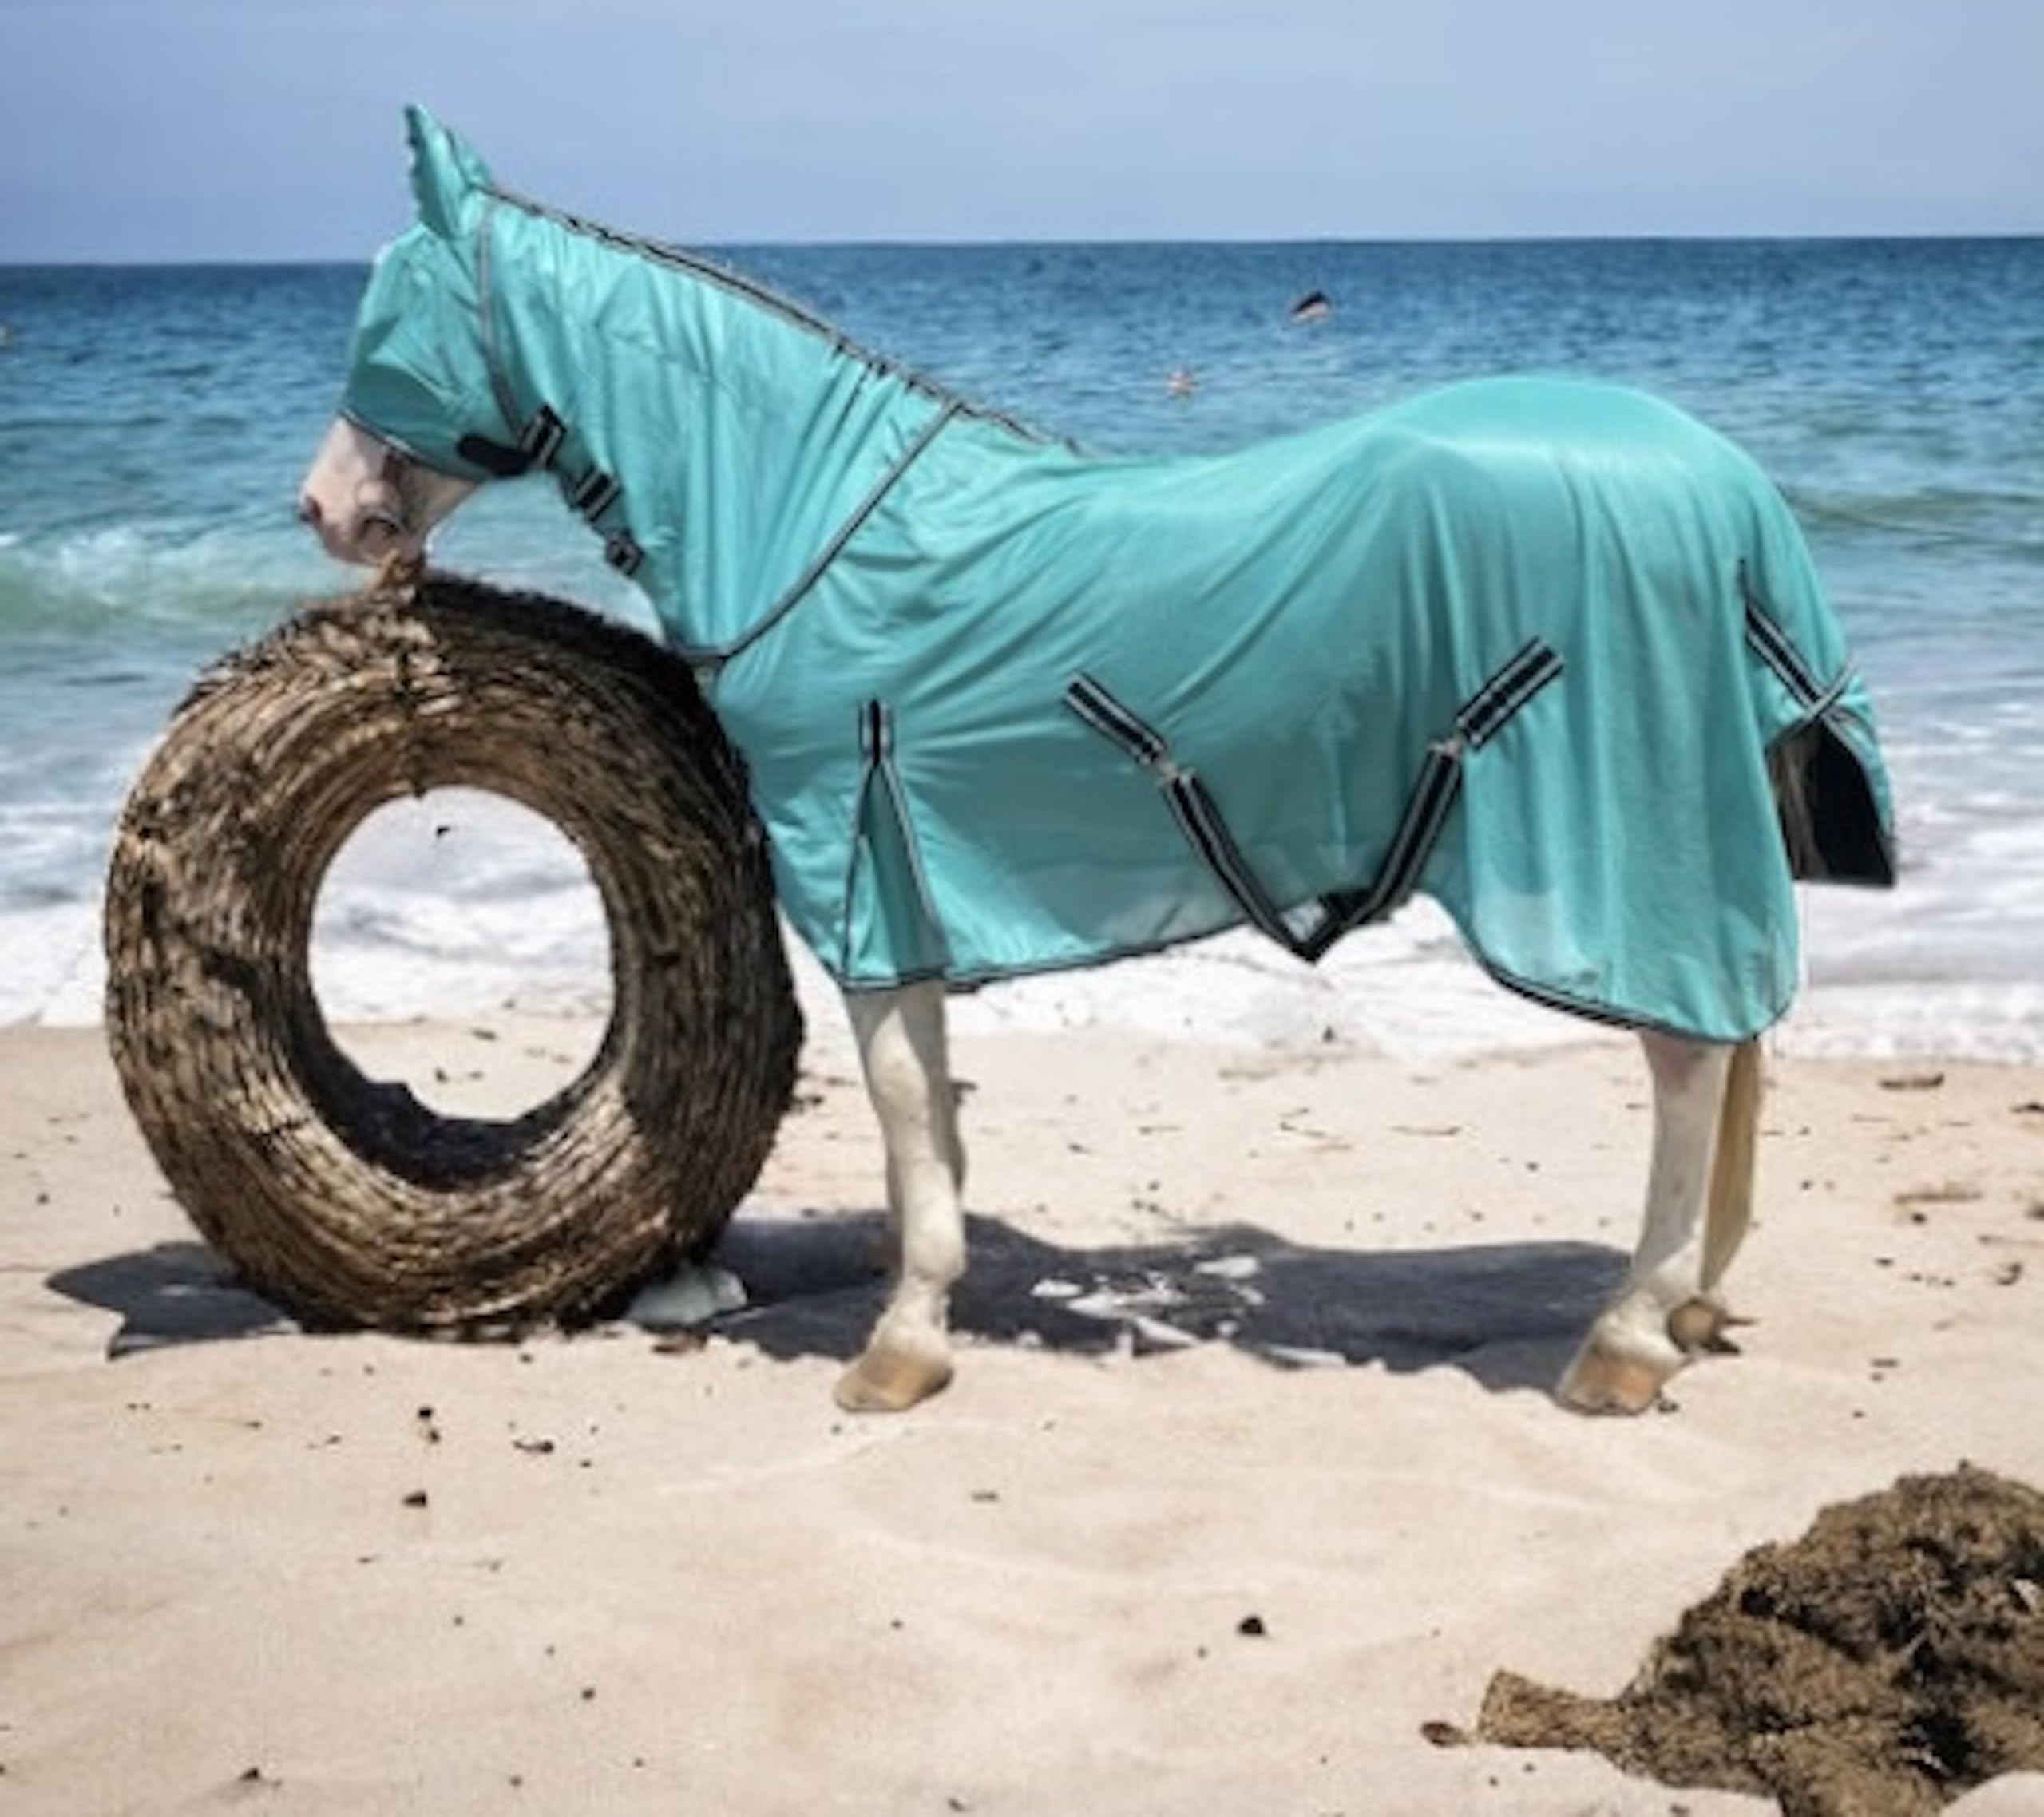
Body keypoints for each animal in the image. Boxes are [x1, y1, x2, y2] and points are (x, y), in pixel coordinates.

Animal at [300, 108, 1895, 1417]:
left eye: (389, 308)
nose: (322, 508)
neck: (823, 522)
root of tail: (1719, 480)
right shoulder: (911, 883)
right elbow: (934, 1114)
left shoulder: (867, 879)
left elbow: (902, 1113)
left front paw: (901, 1346)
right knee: (1734, 1046)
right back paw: (1687, 1309)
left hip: (1624, 854)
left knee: (1691, 1056)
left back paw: (1627, 1336)